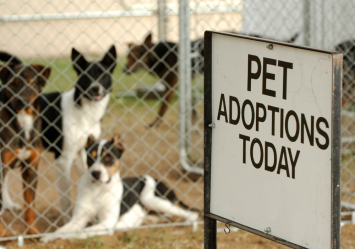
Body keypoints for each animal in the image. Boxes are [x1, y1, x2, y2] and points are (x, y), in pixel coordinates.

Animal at [0, 52, 51, 235]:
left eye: (30, 82)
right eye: (12, 83)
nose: (20, 100)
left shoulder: (31, 168)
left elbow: (30, 205)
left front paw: (32, 231)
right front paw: (2, 234)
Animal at [38, 45, 117, 221]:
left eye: (102, 74)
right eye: (86, 76)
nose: (95, 88)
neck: (83, 110)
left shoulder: (83, 151)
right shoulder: (63, 160)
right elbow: (65, 198)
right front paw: (68, 221)